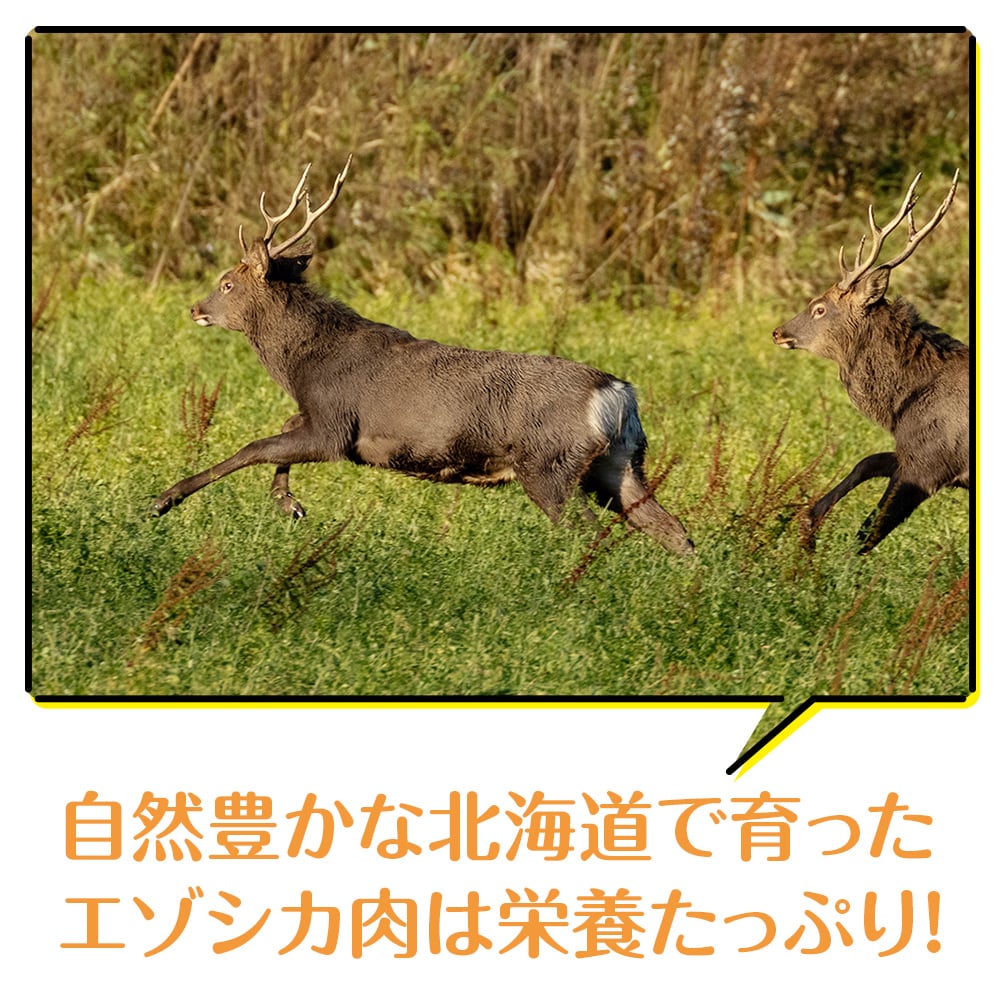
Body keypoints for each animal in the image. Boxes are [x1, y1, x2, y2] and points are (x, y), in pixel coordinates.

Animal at [152, 157, 695, 557]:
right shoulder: (320, 419)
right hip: (619, 463)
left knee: (591, 533)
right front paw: (289, 504)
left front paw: (165, 499)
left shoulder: (335, 426)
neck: (304, 364)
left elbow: (256, 446)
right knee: (674, 531)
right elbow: (279, 432)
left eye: (227, 282)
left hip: (548, 464)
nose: (195, 308)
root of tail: (617, 393)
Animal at [772, 170, 968, 553]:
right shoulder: (915, 454)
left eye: (819, 308)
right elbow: (868, 461)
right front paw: (808, 524)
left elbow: (868, 531)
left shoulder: (930, 463)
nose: (777, 332)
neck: (899, 406)